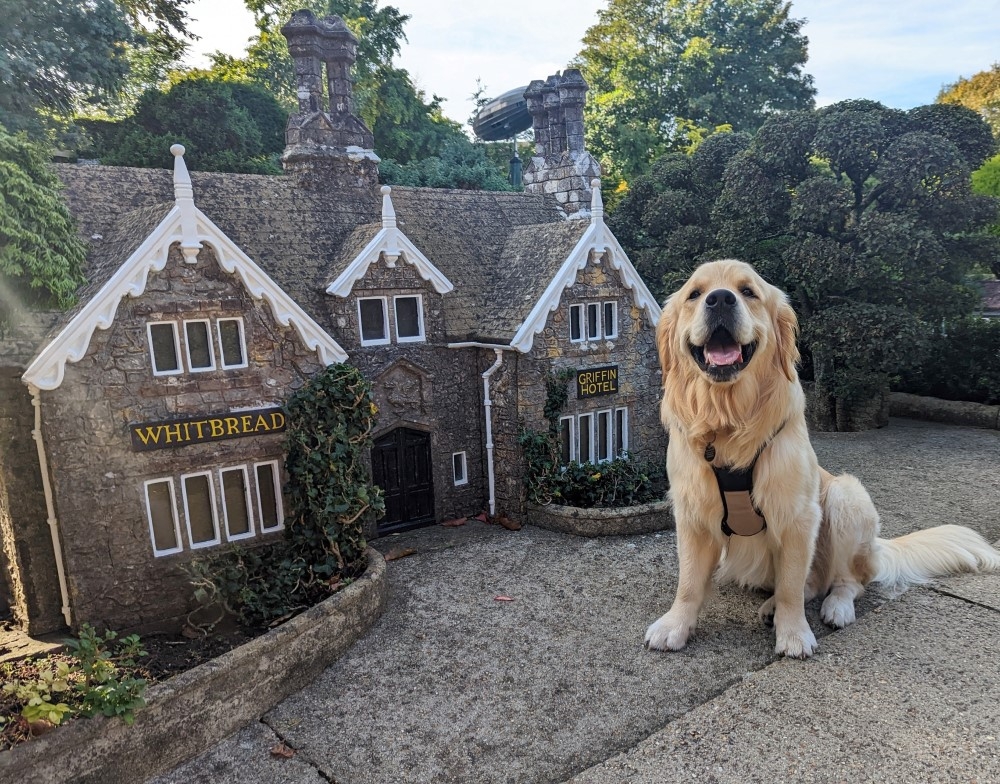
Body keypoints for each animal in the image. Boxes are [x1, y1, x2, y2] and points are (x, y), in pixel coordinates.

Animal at [648, 260, 1000, 660]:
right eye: (695, 293)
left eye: (748, 291)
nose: (720, 299)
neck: (728, 419)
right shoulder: (692, 513)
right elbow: (690, 581)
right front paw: (675, 625)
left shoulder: (799, 518)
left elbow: (790, 585)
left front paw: (794, 634)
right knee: (812, 583)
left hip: (846, 497)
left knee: (842, 581)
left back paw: (833, 607)